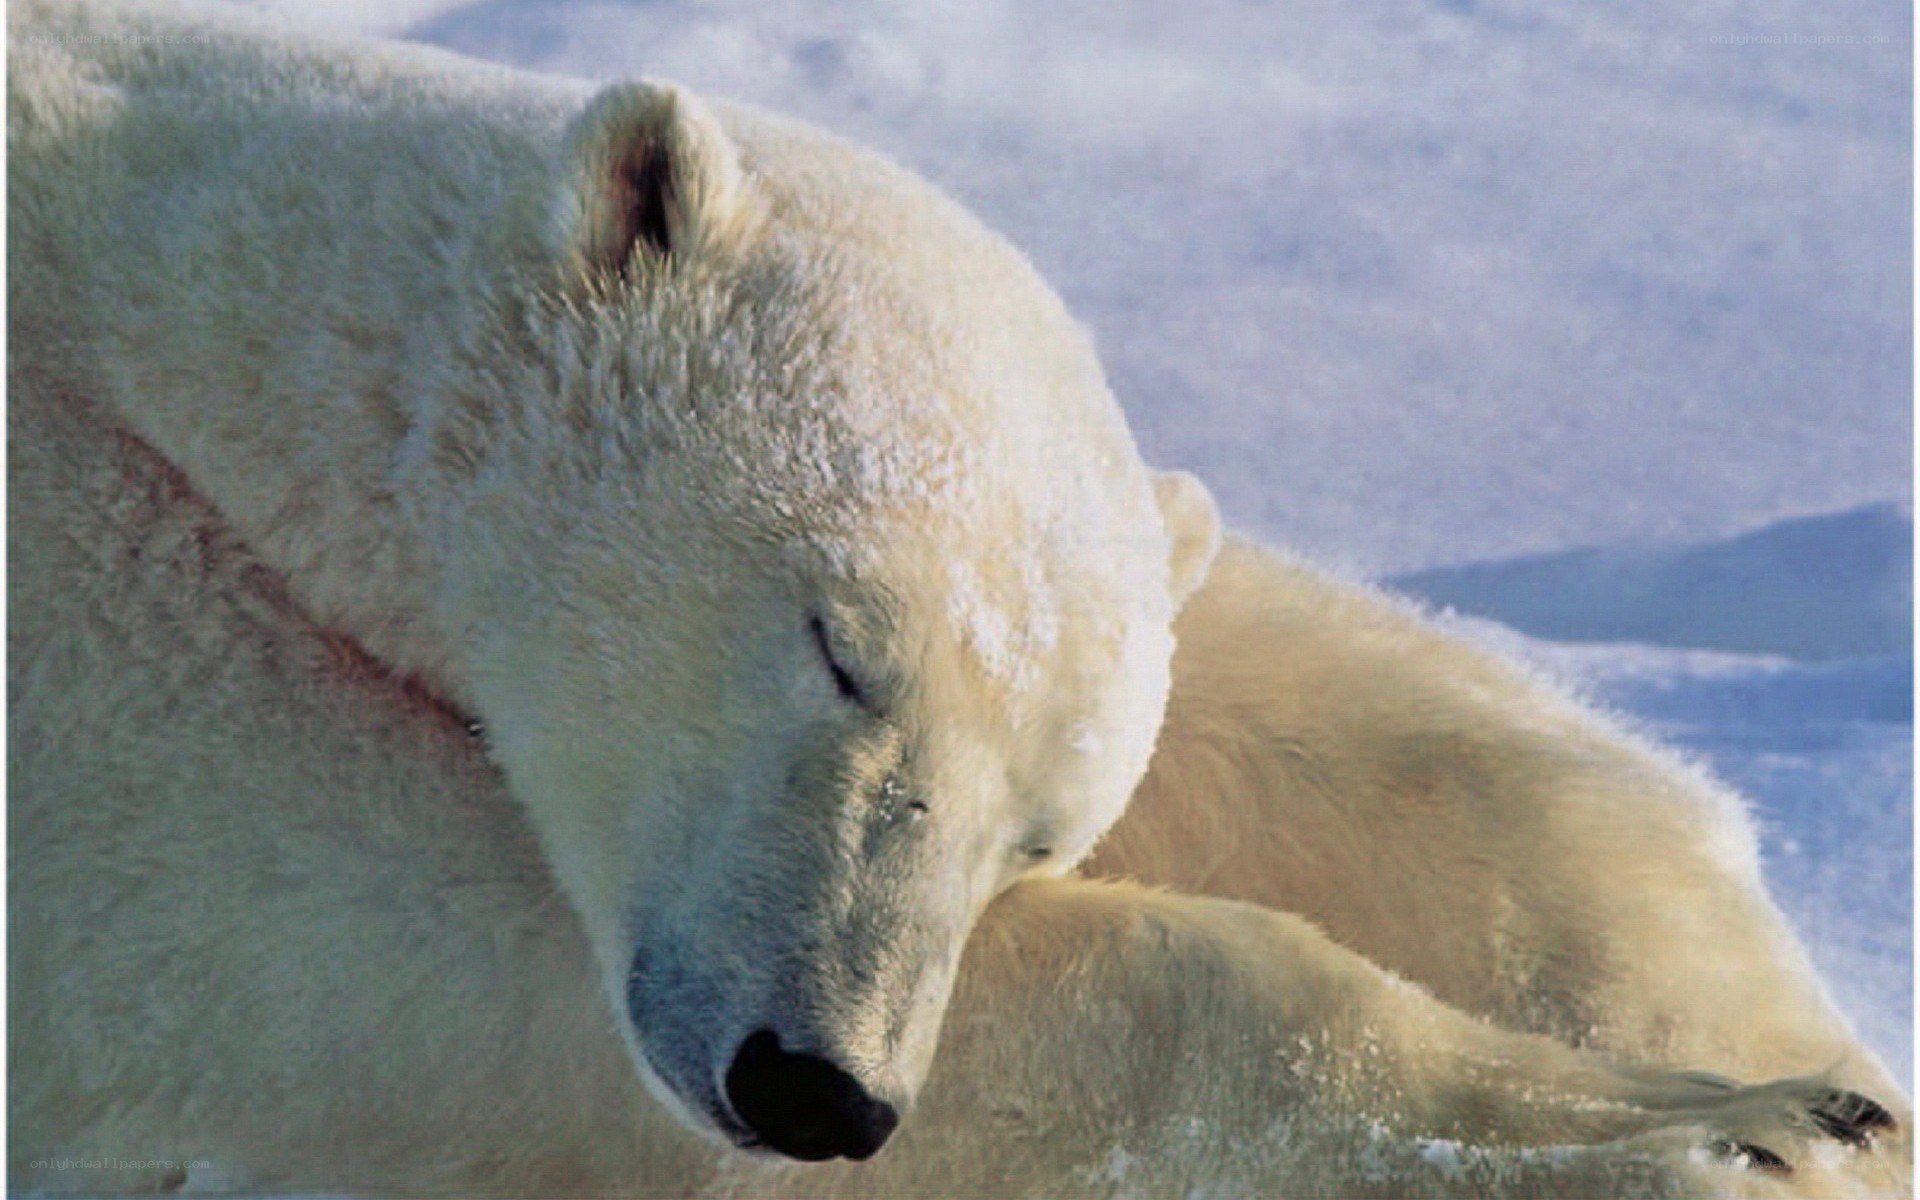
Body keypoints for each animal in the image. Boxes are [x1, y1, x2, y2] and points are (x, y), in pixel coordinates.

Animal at [8, 1, 1907, 1196]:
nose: (819, 1088)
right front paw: (1696, 1140)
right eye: (838, 652)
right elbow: (329, 913)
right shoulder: (81, 653)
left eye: (1044, 830)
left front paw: (1794, 1064)